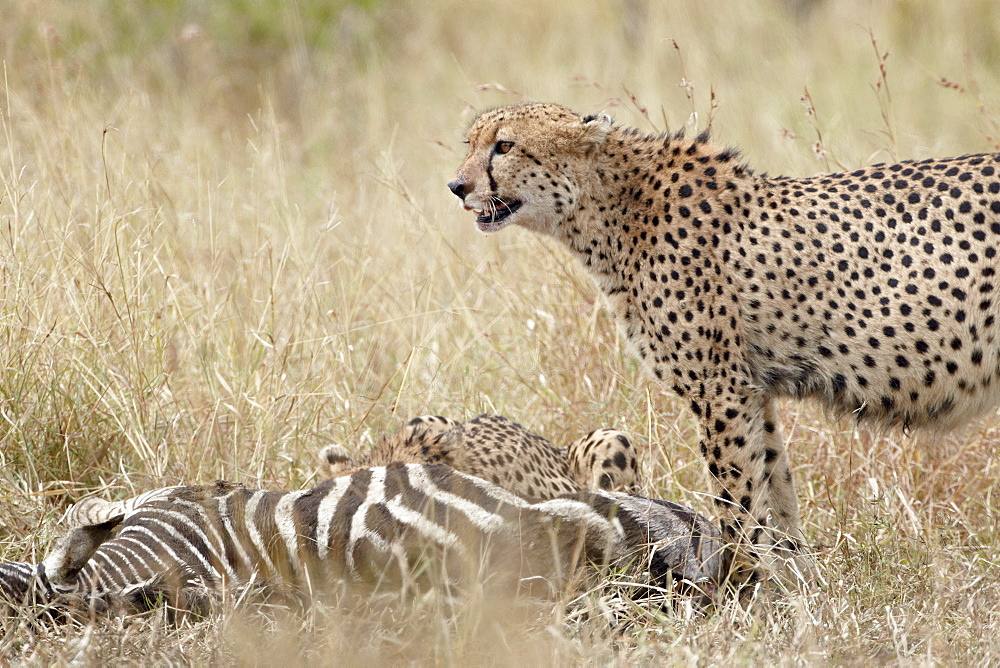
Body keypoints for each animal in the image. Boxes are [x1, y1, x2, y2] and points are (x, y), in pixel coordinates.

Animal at [450, 100, 1000, 580]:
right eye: (470, 143)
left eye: (505, 146)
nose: (457, 186)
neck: (609, 208)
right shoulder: (753, 389)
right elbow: (775, 490)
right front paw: (795, 587)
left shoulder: (720, 389)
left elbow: (736, 498)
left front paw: (740, 590)